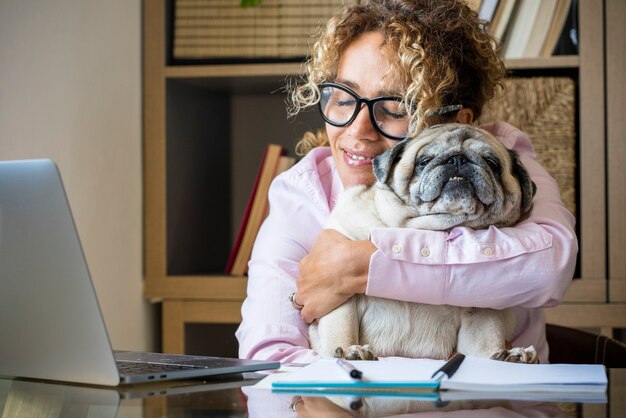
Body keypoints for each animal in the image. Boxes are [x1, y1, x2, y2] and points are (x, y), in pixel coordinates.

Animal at [310, 121, 540, 362]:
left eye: (492, 163)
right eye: (424, 161)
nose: (458, 159)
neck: (429, 227)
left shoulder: (481, 311)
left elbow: (485, 342)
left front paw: (502, 355)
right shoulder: (340, 295)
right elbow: (342, 329)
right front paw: (348, 351)